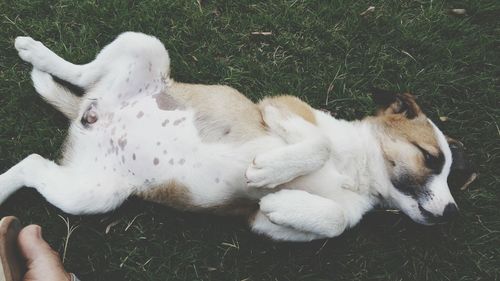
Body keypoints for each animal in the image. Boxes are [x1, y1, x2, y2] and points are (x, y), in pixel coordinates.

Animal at [1, 31, 466, 241]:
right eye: (431, 158)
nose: (452, 213)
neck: (356, 172)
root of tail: (89, 113)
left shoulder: (267, 225)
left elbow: (332, 221)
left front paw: (281, 200)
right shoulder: (282, 109)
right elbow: (318, 144)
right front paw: (269, 173)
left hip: (91, 193)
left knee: (32, 165)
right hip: (145, 44)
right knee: (80, 74)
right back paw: (37, 54)